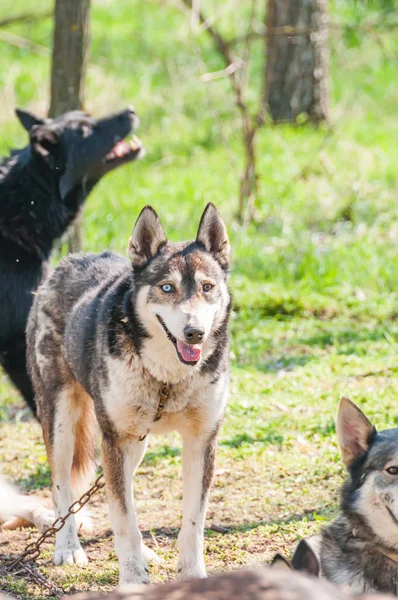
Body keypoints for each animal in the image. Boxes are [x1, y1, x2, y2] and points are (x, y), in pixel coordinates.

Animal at [28, 204, 232, 584]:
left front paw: (192, 576)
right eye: (167, 288)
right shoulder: (115, 440)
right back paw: (68, 547)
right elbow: (124, 518)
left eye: (207, 287)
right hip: (63, 424)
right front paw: (134, 580)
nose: (194, 333)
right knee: (62, 486)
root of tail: (70, 260)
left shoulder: (201, 442)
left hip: (137, 444)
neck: (167, 378)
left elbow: (192, 522)